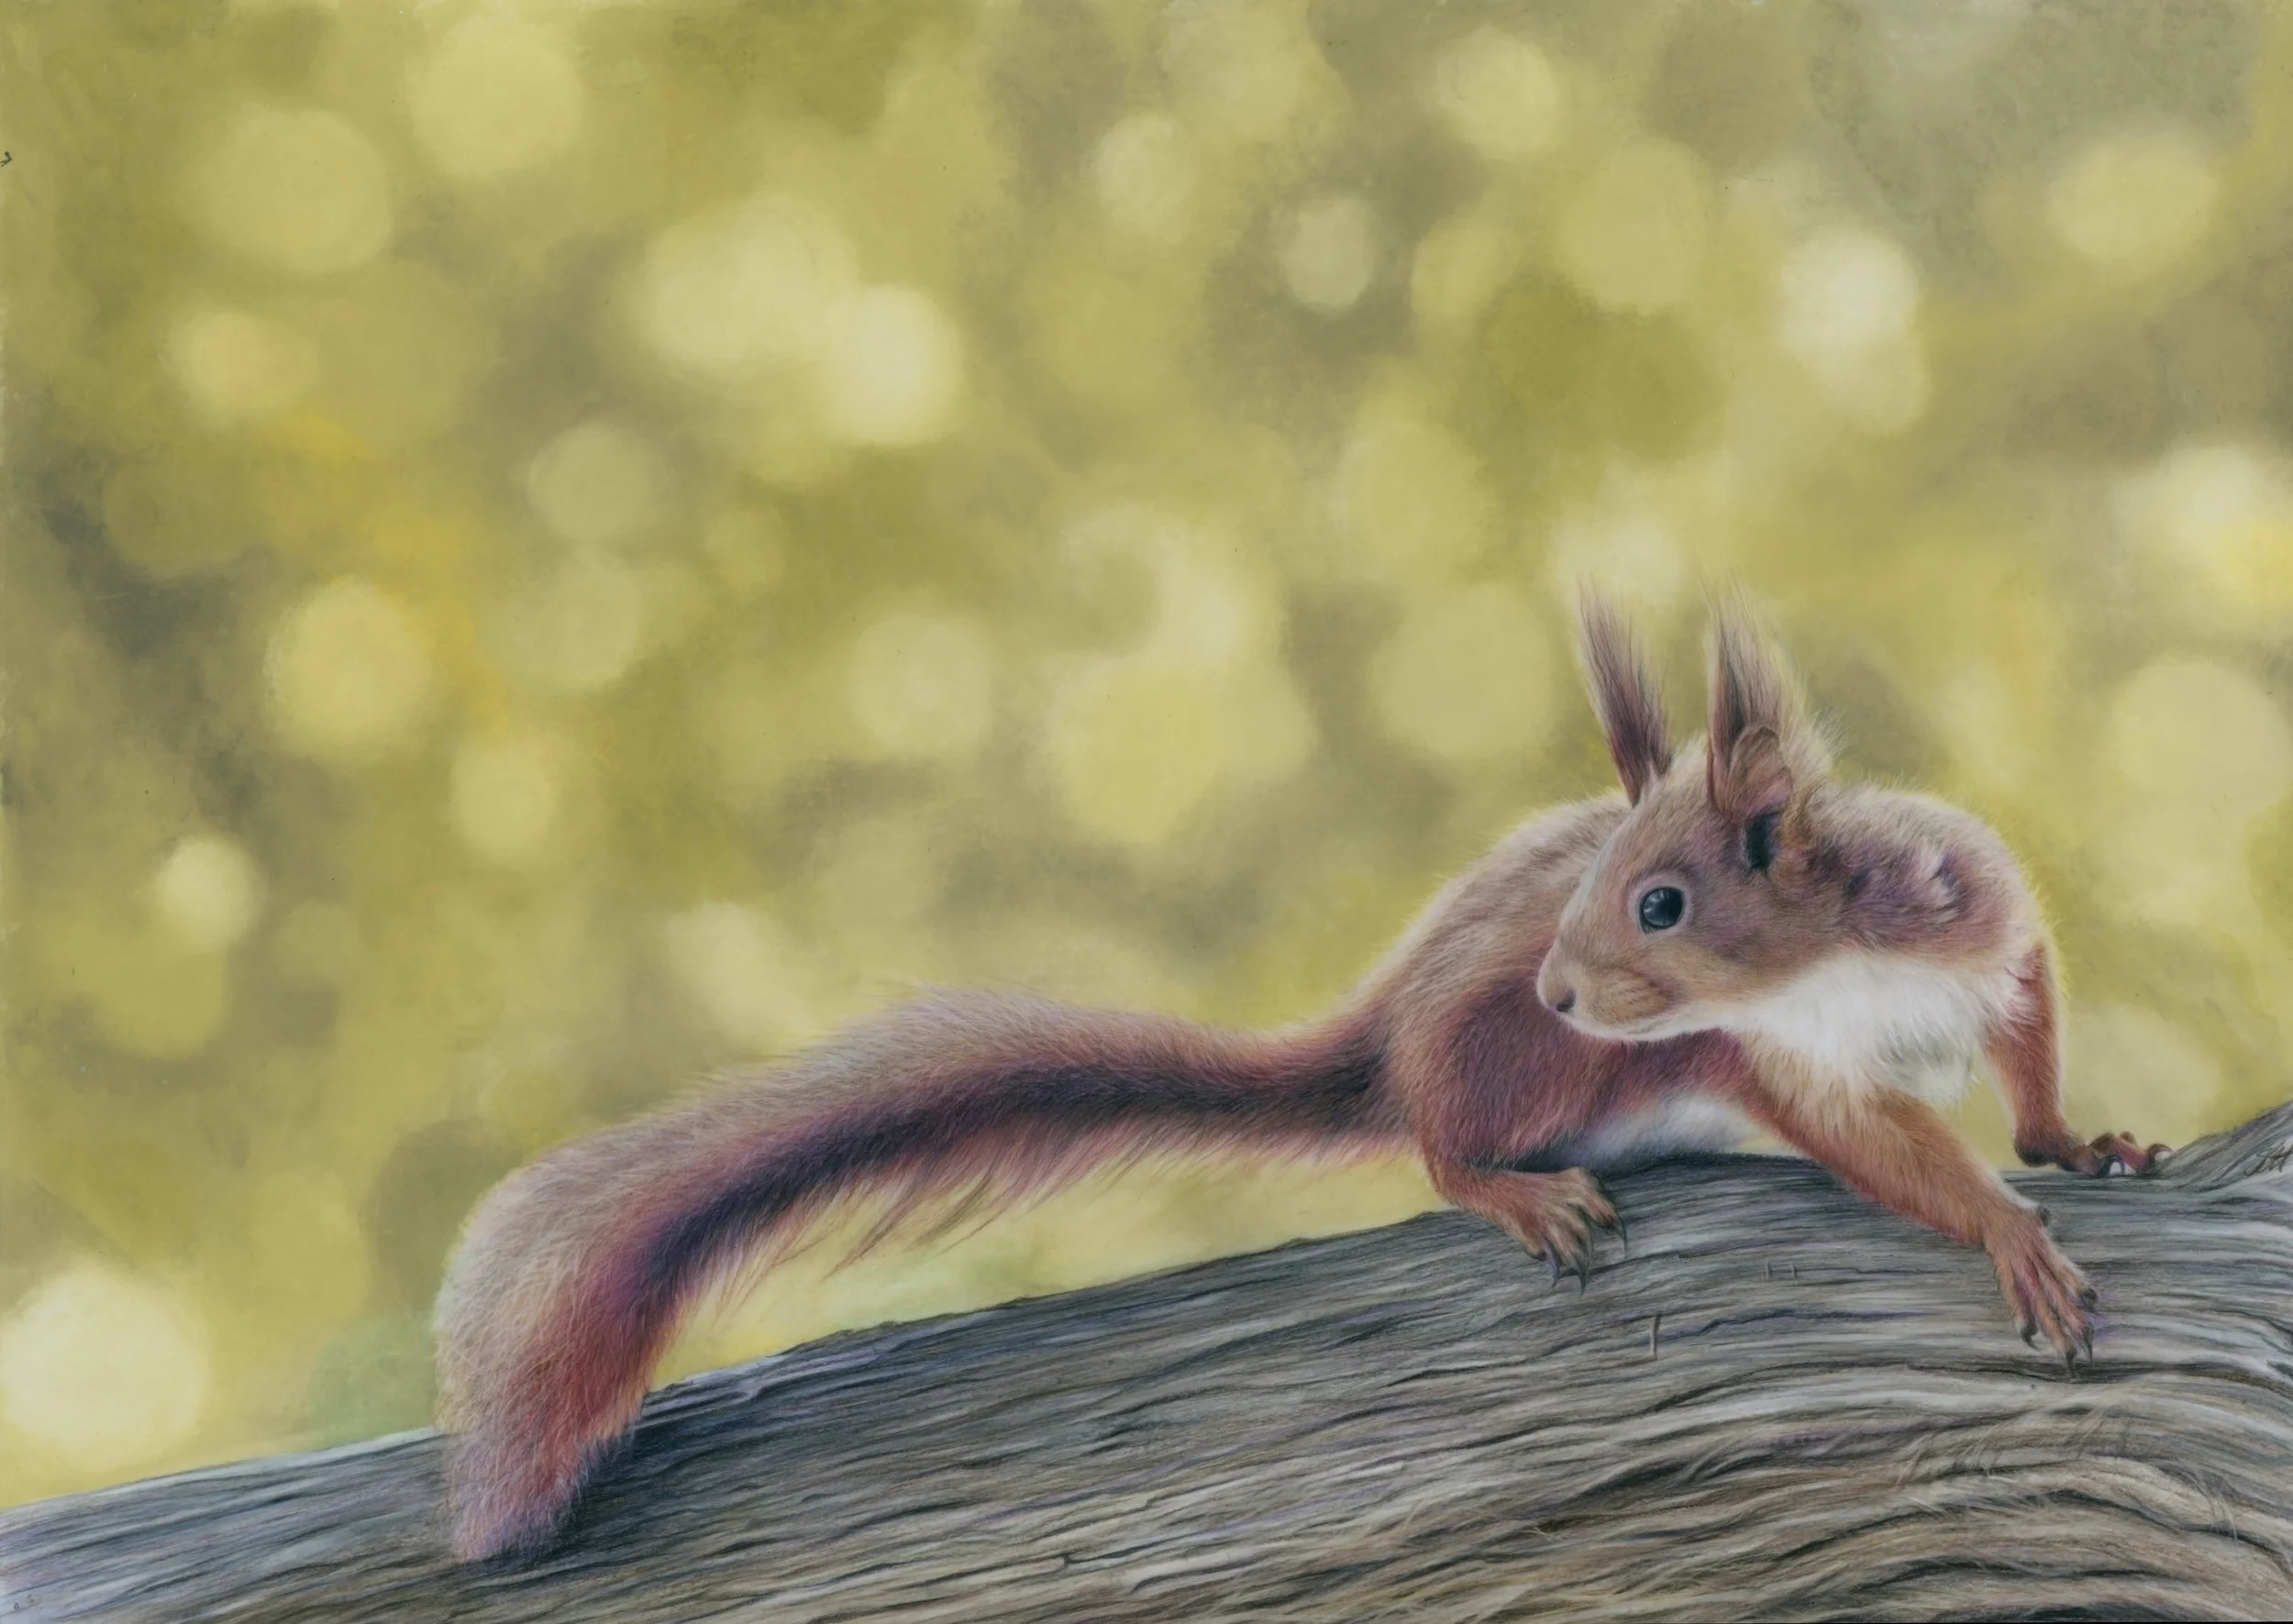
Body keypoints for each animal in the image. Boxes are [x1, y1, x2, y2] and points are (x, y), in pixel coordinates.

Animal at [432, 593, 2167, 1562]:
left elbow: (2028, 1031)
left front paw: (2077, 1143)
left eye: (1664, 900)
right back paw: (1517, 1193)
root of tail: (1389, 1035)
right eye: (1597, 882)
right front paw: (2008, 1231)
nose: (1561, 978)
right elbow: (1887, 1148)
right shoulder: (1777, 1064)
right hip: (1509, 1069)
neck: (1826, 964)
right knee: (1437, 1148)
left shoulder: (1978, 917)